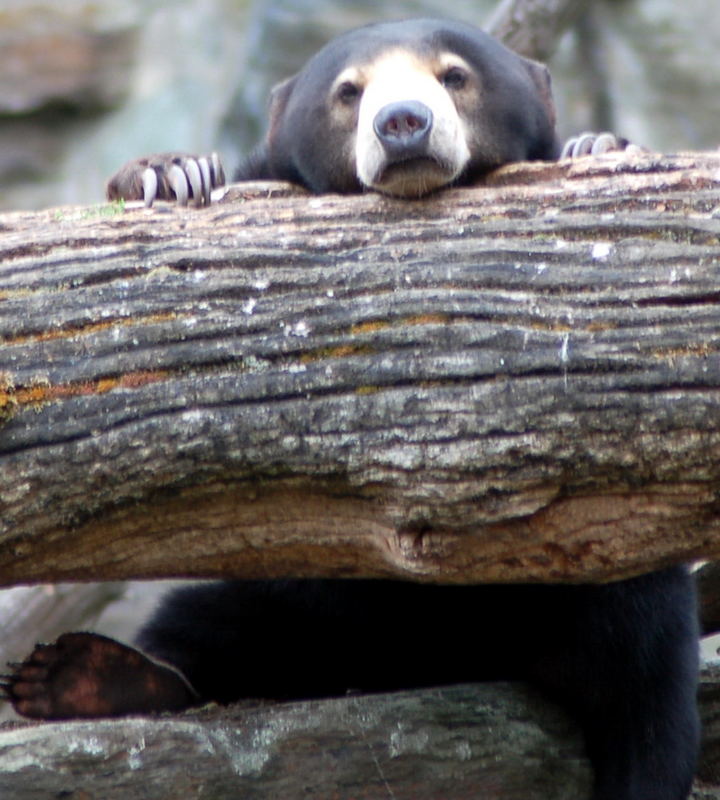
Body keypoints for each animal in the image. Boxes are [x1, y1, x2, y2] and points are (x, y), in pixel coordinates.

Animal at [0, 17, 696, 800]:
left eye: (455, 76)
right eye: (349, 92)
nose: (403, 123)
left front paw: (602, 147)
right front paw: (169, 174)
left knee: (641, 671)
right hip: (297, 593)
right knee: (211, 623)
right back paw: (85, 677)